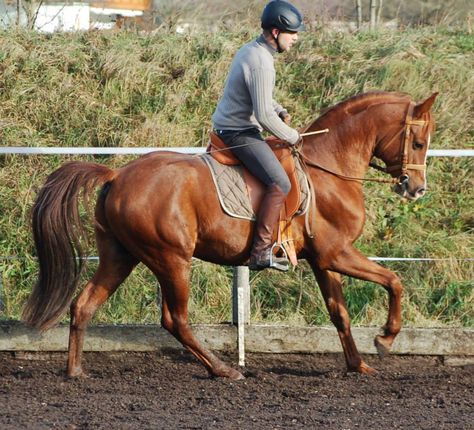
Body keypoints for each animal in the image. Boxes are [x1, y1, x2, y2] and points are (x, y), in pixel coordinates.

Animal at [21, 91, 436, 380]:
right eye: (418, 143)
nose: (416, 189)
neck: (327, 168)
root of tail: (117, 175)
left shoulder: (324, 259)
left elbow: (340, 313)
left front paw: (357, 365)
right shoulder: (337, 253)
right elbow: (393, 280)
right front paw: (385, 339)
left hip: (121, 256)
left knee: (83, 305)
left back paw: (75, 371)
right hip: (171, 259)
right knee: (175, 320)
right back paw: (223, 369)